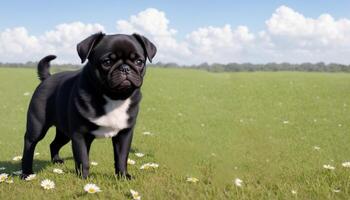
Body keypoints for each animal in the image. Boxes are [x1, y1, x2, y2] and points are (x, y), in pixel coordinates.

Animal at [19, 32, 156, 179]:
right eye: (107, 62)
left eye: (139, 62)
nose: (125, 68)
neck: (114, 97)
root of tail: (47, 78)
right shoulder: (80, 135)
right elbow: (83, 158)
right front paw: (84, 178)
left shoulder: (124, 134)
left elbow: (121, 157)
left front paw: (123, 177)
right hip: (37, 127)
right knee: (29, 144)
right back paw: (27, 173)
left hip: (64, 132)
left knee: (54, 144)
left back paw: (56, 161)